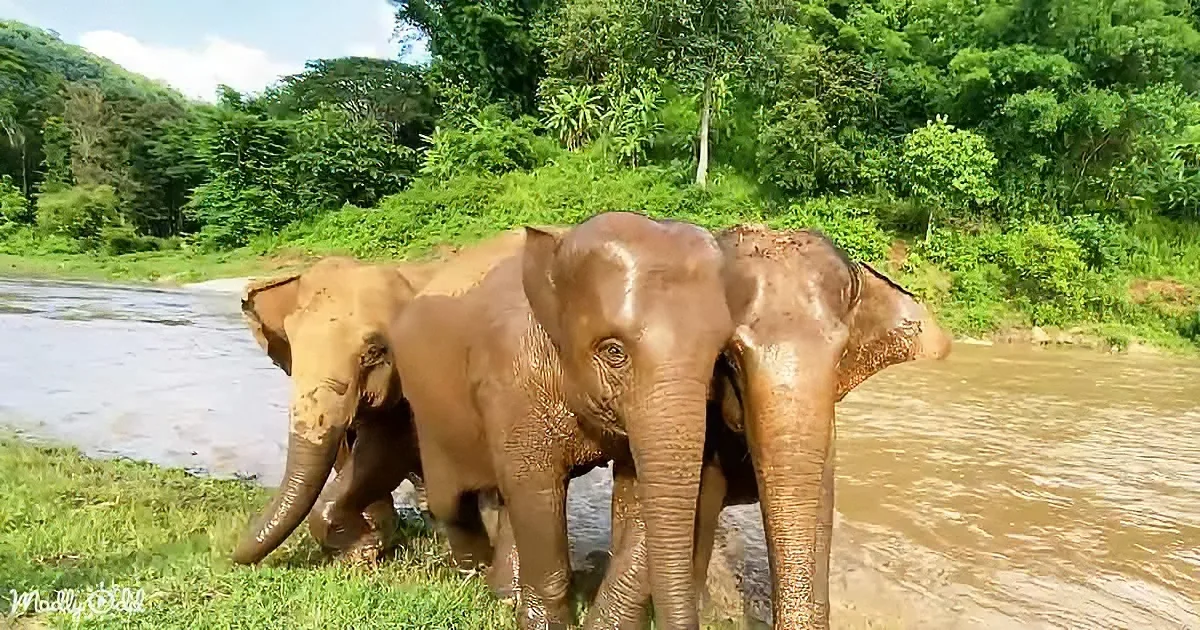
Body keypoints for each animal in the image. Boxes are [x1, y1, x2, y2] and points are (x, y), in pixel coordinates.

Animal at [391, 211, 735, 630]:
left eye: (719, 356)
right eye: (614, 352)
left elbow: (635, 494)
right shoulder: (513, 375)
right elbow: (537, 487)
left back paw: (503, 593)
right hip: (425, 406)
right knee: (451, 500)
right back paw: (472, 577)